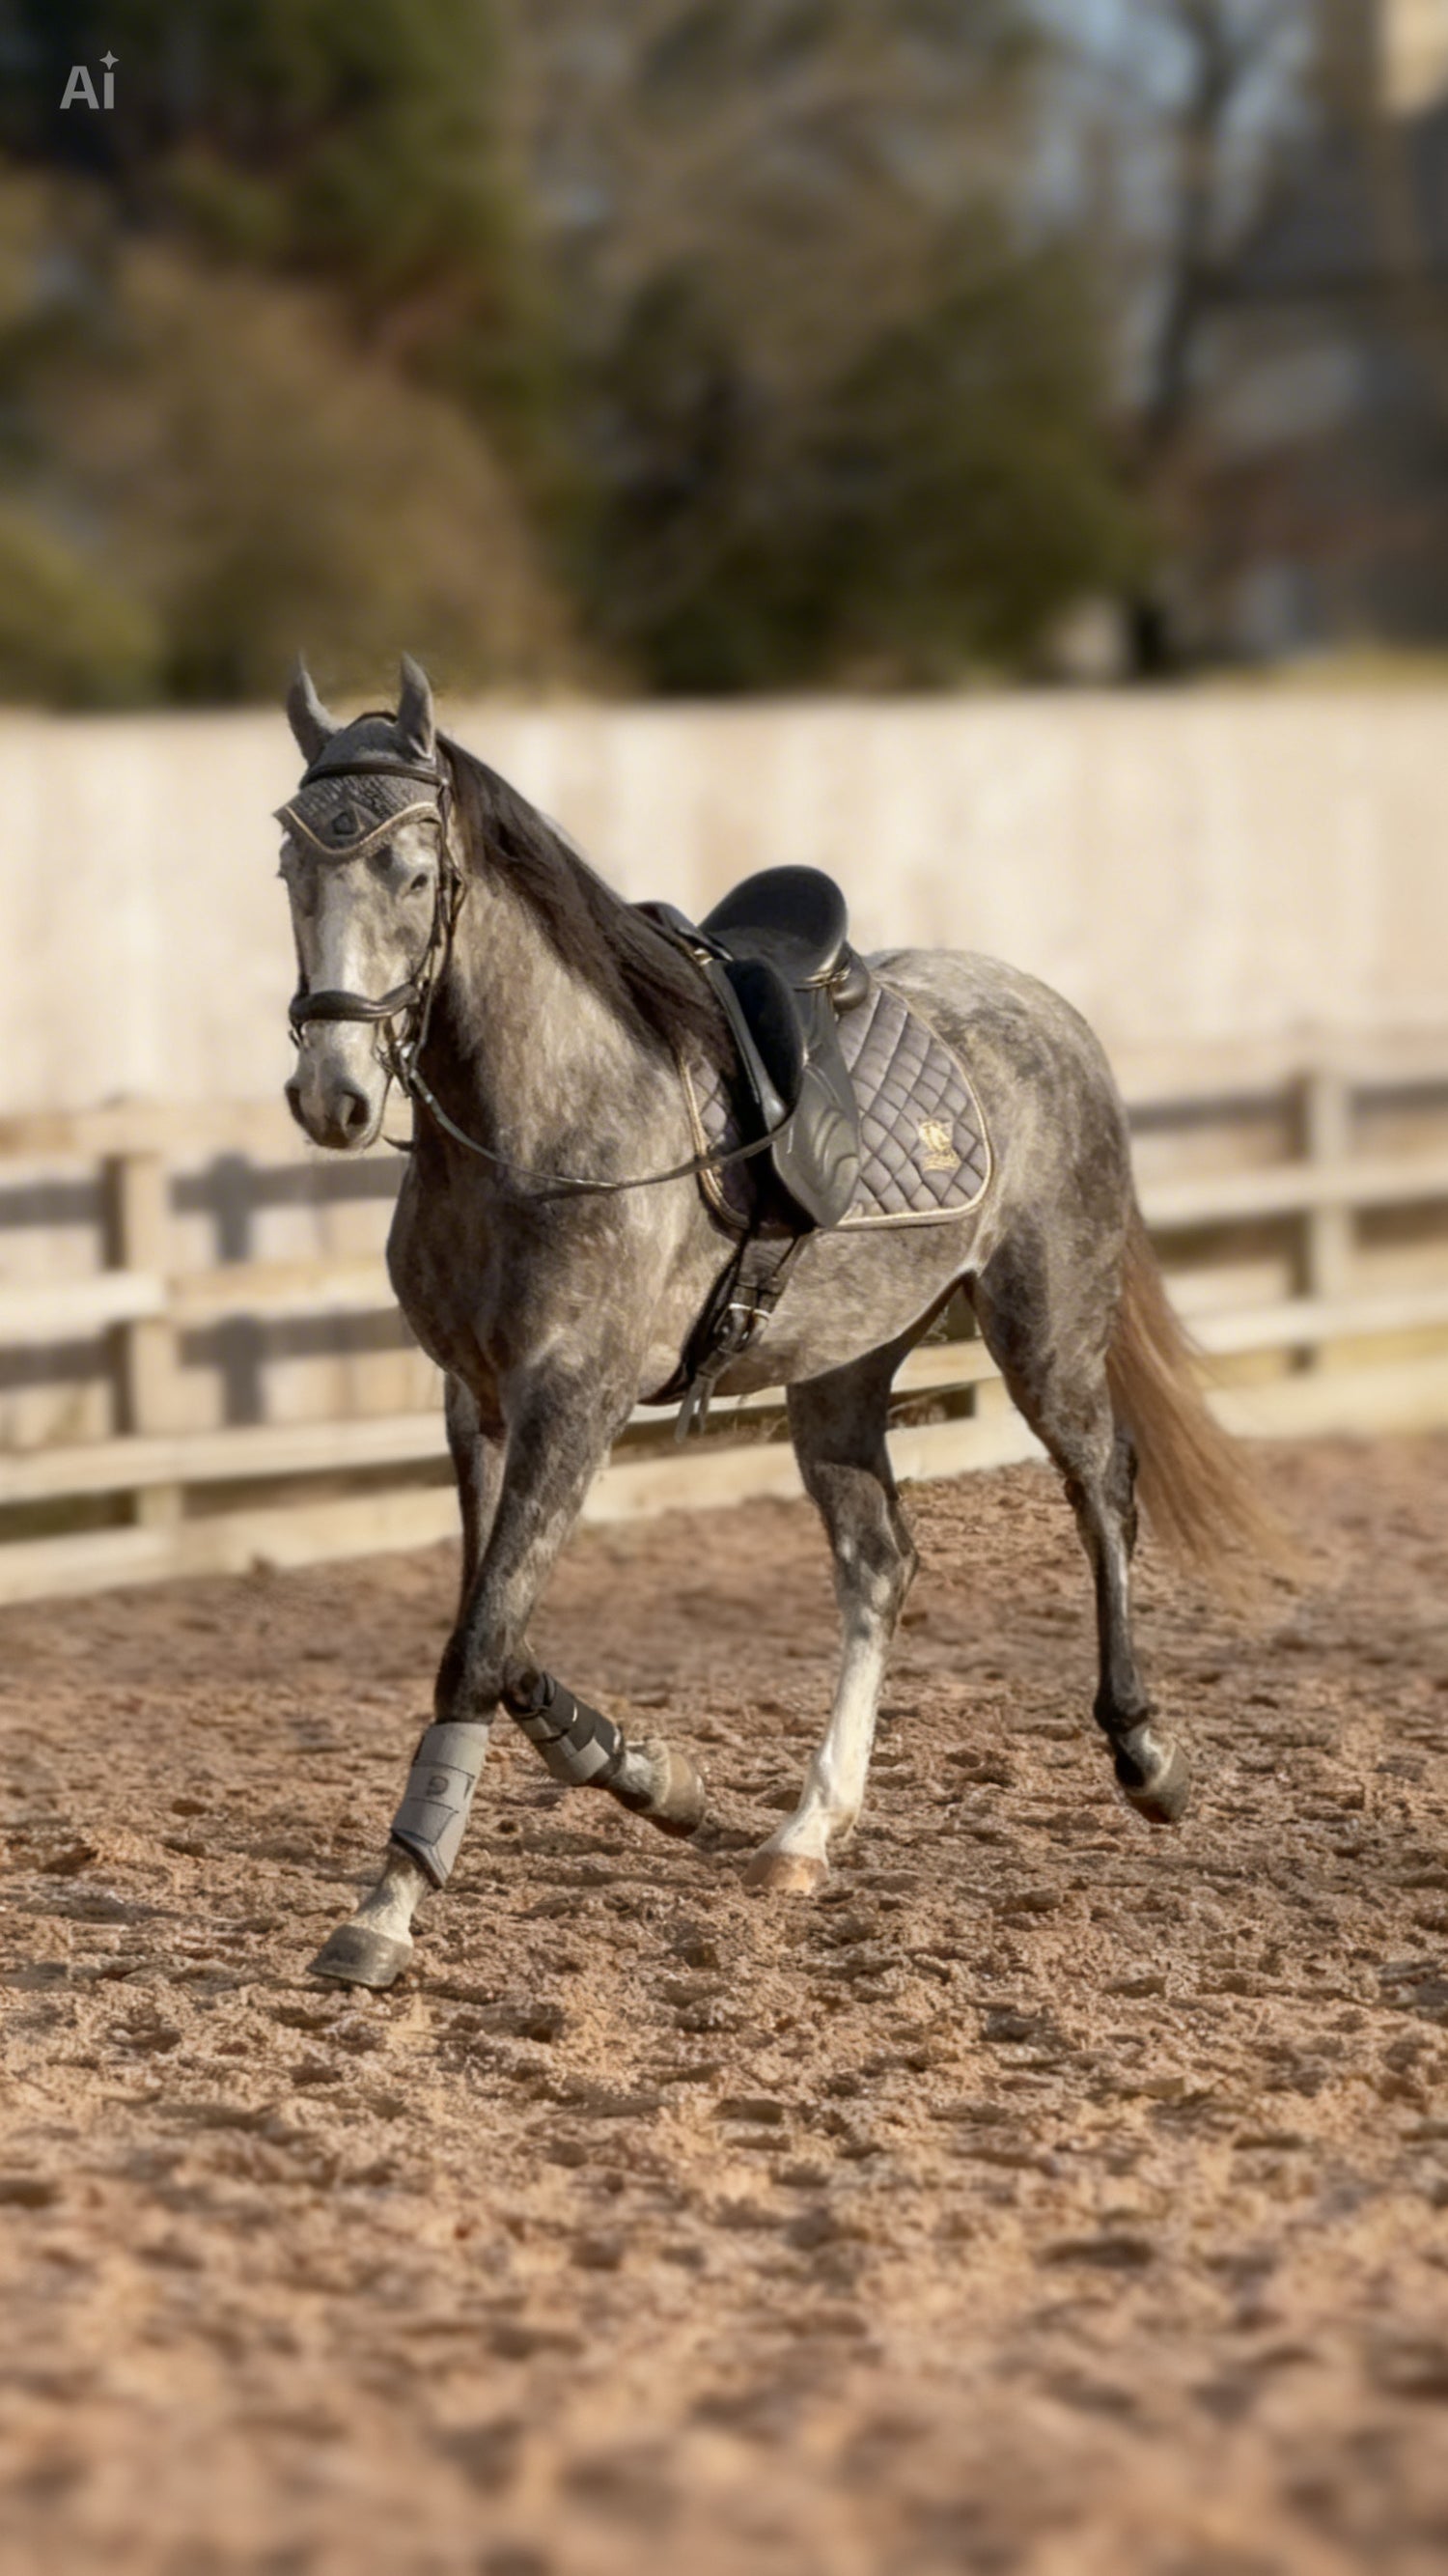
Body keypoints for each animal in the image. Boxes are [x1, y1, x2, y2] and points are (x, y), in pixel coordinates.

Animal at [279, 657, 1267, 1991]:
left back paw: (1146, 1757)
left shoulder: (574, 1402)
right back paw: (807, 1829)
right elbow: (500, 1630)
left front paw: (386, 1906)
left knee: (1103, 1485)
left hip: (1047, 1325)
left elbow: (480, 1643)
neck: (538, 1119)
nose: (330, 1095)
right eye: (292, 863)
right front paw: (655, 1777)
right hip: (841, 1371)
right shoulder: (476, 1402)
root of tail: (1047, 1009)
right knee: (880, 1560)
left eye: (413, 870)